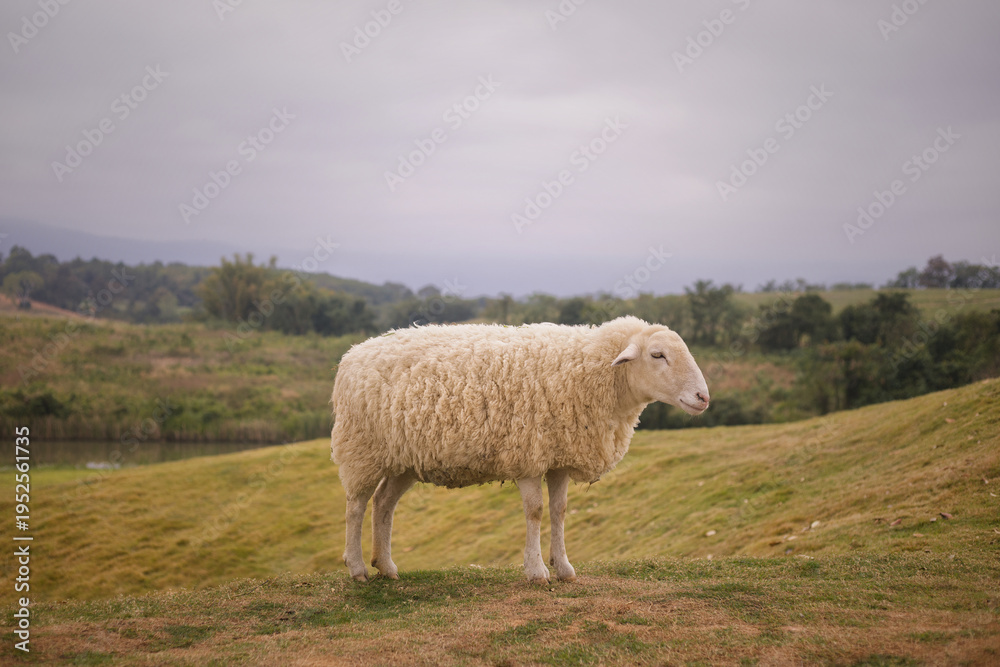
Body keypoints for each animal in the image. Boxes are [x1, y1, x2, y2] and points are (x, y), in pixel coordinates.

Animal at [330, 315, 709, 584]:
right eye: (658, 355)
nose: (703, 397)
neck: (592, 371)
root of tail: (351, 354)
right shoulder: (528, 454)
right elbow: (535, 512)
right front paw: (537, 571)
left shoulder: (559, 458)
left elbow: (559, 510)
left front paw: (564, 568)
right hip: (361, 449)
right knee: (355, 506)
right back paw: (358, 568)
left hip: (404, 460)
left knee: (384, 503)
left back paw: (387, 566)